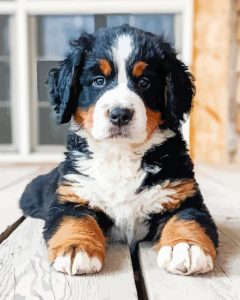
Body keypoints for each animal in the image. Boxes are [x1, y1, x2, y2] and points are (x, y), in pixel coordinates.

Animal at [20, 24, 218, 276]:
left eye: (144, 82)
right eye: (98, 81)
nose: (120, 114)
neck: (120, 154)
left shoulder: (182, 193)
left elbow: (188, 219)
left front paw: (186, 247)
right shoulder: (73, 194)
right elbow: (74, 219)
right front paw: (76, 248)